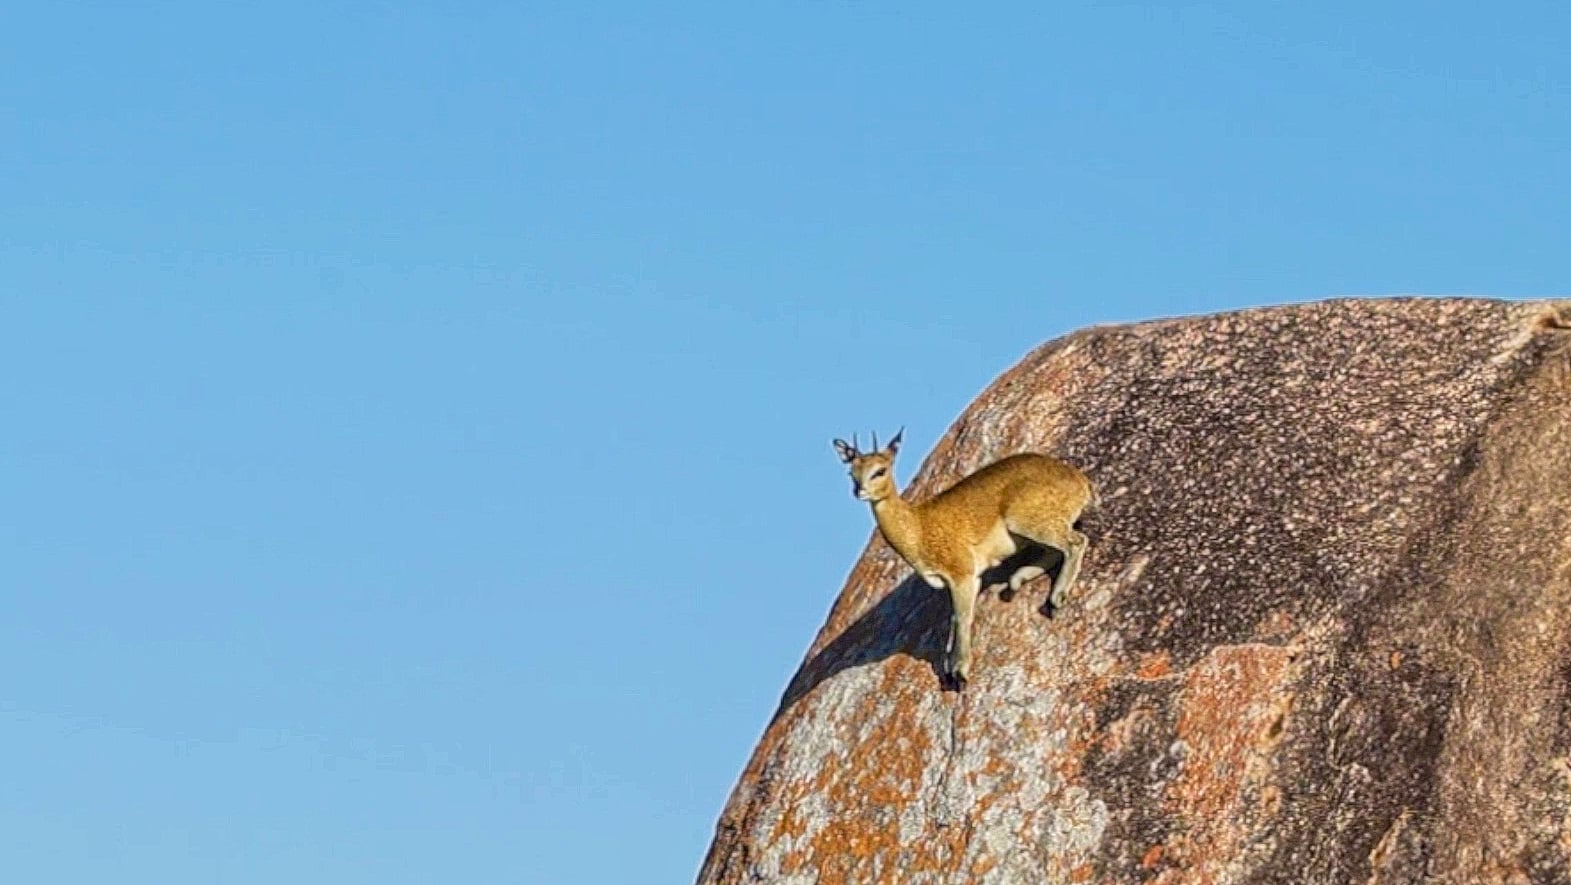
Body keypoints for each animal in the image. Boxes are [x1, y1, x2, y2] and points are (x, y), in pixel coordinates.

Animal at [833, 429, 1095, 687]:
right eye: (851, 472)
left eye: (880, 470)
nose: (859, 491)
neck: (917, 527)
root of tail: (1081, 481)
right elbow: (953, 620)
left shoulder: (963, 574)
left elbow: (962, 618)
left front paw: (960, 672)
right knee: (1053, 550)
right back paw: (1015, 582)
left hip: (1024, 521)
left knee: (1076, 542)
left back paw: (1055, 599)